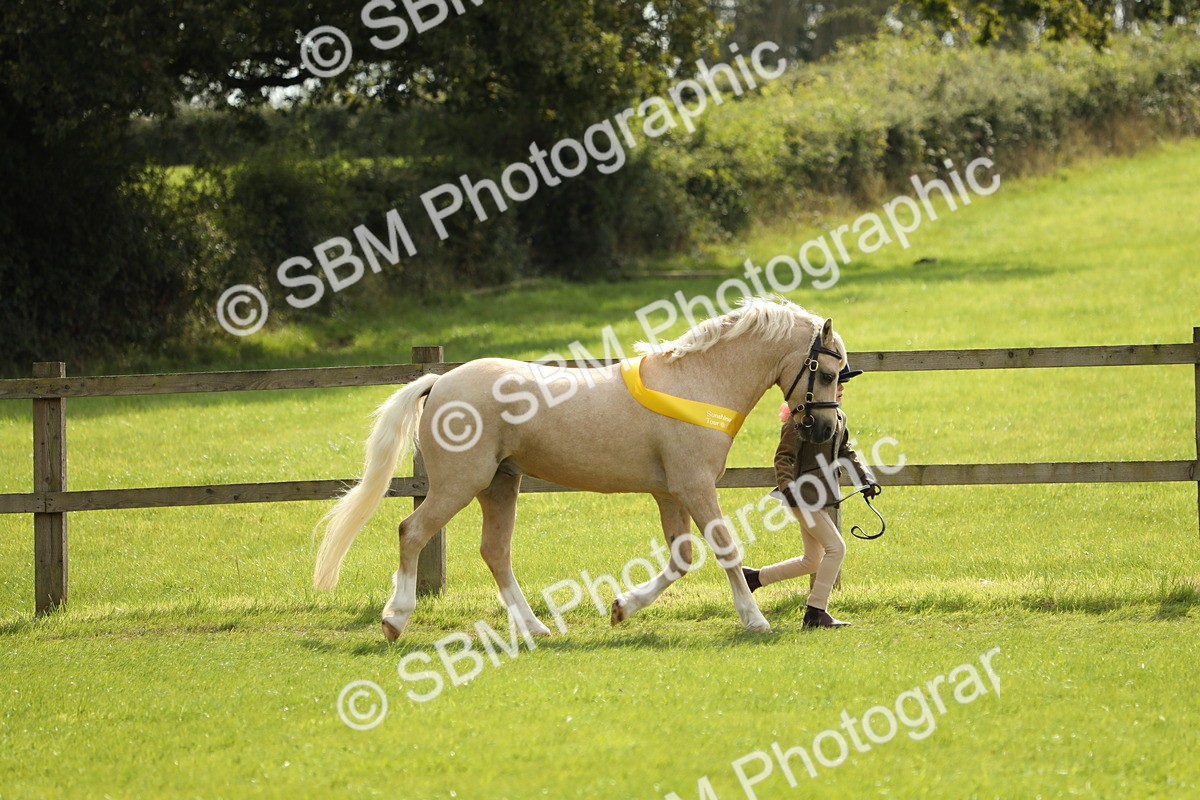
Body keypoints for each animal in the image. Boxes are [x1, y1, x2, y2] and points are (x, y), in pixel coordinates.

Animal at [313, 296, 848, 640]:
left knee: (495, 553)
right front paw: (755, 620)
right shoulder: (696, 487)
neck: (699, 383)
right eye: (825, 372)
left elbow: (680, 559)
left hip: (500, 484)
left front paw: (622, 608)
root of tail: (439, 383)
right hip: (458, 484)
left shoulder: (670, 493)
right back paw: (395, 620)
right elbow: (726, 550)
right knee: (412, 532)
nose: (825, 430)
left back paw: (535, 628)